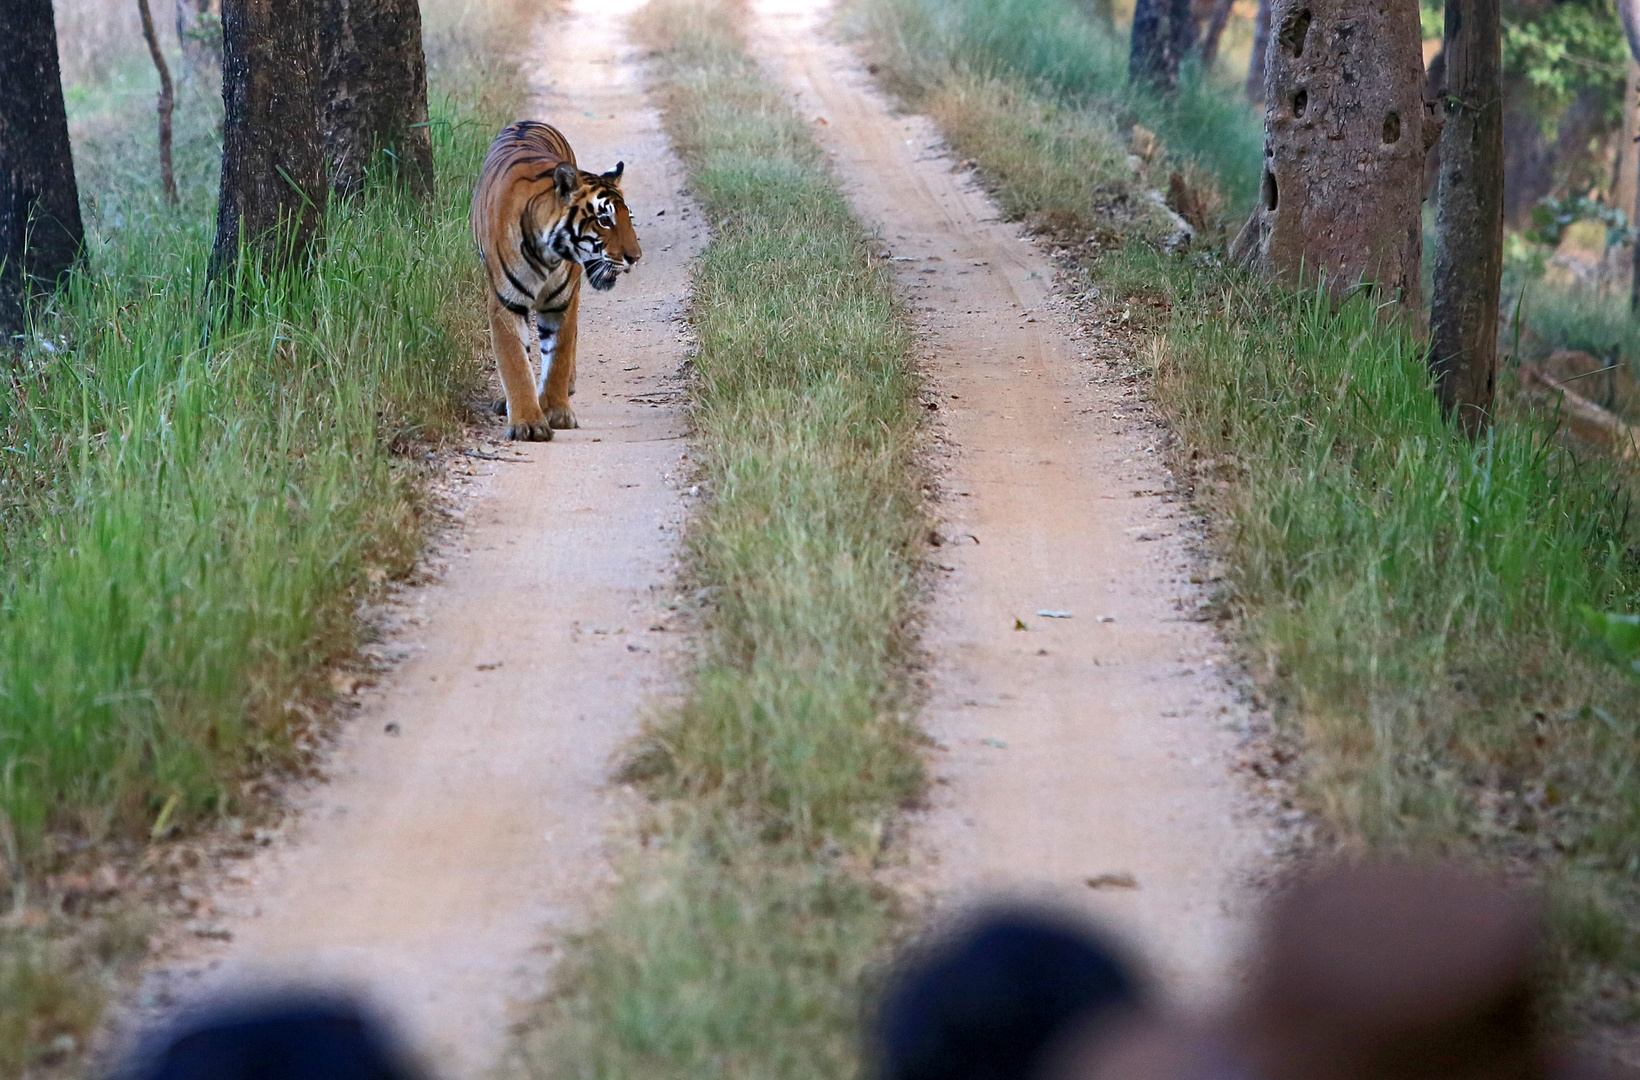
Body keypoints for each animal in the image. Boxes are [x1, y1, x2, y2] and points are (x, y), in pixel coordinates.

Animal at [469, 117, 639, 439]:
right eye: (604, 220)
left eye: (628, 219)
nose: (635, 257)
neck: (547, 254)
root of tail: (528, 121)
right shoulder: (505, 303)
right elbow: (514, 362)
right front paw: (527, 422)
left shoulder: (563, 301)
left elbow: (558, 356)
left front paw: (556, 411)